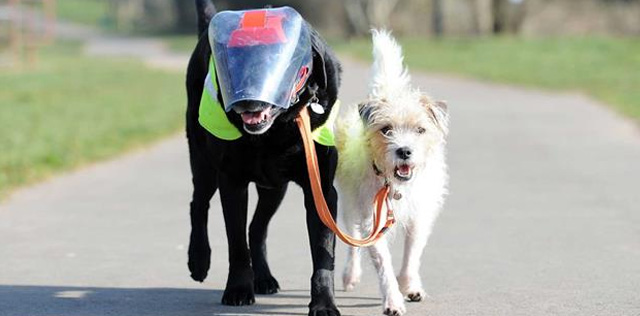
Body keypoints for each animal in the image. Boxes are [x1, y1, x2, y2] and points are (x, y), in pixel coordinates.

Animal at [186, 1, 340, 314]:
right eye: (233, 63)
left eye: (277, 62)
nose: (246, 101)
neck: (278, 129)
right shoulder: (232, 183)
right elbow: (235, 243)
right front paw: (237, 289)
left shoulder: (322, 192)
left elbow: (322, 255)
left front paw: (323, 303)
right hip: (204, 162)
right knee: (199, 204)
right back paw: (199, 259)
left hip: (274, 188)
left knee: (256, 228)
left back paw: (265, 277)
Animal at [338, 30, 448, 316]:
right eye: (386, 130)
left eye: (420, 130)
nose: (404, 151)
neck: (396, 186)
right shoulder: (372, 219)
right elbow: (382, 263)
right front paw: (393, 300)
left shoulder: (419, 215)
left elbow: (412, 254)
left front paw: (409, 285)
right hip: (349, 205)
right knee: (353, 240)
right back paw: (350, 274)